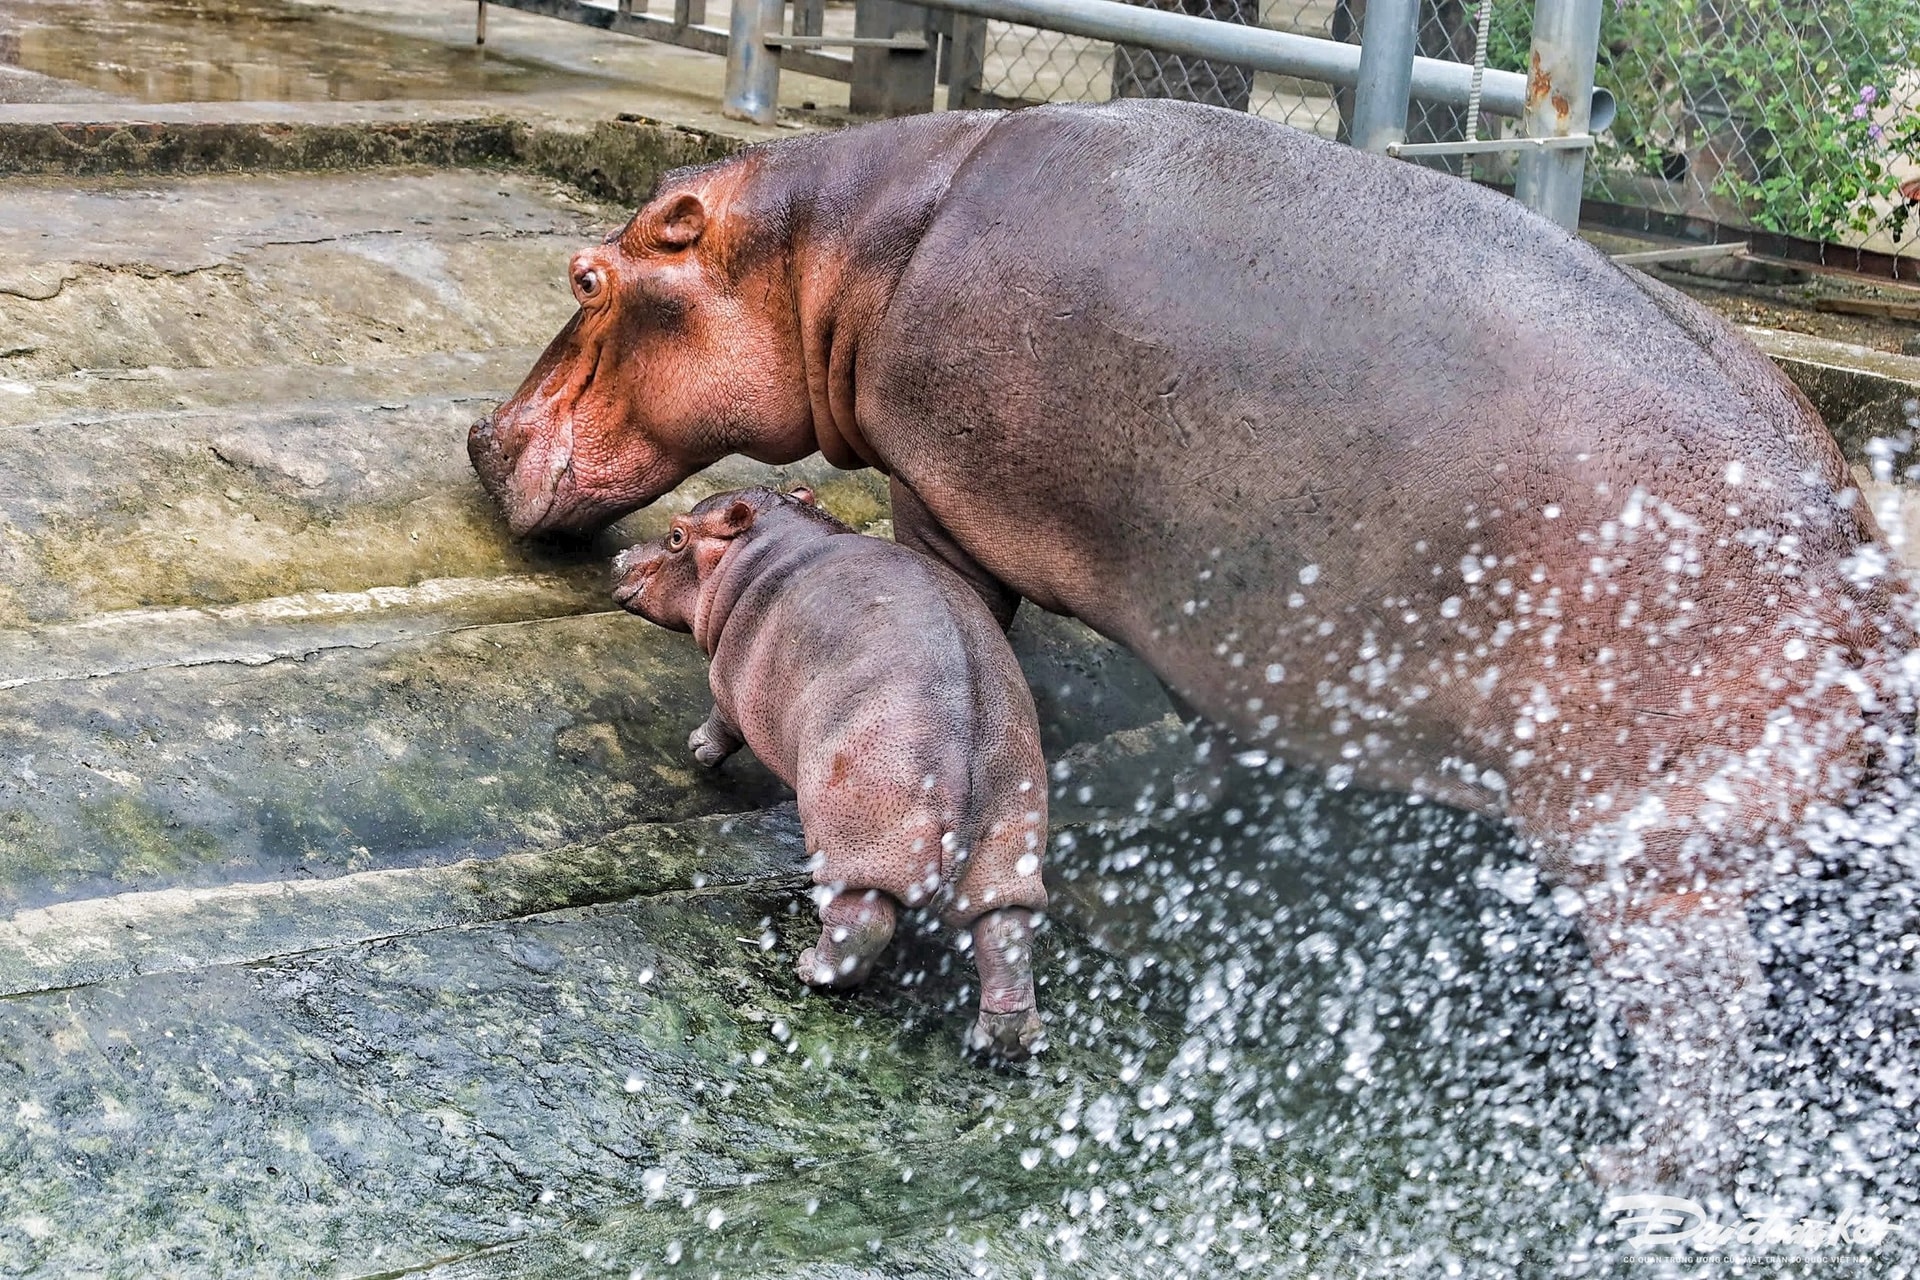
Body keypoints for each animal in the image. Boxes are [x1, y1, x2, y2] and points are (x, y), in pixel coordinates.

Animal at [610, 485, 1052, 1059]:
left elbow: (721, 721)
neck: (765, 543)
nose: (618, 557)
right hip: (1008, 849)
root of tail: (965, 779)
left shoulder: (728, 681)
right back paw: (1002, 1041)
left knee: (861, 924)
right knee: (1006, 939)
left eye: (677, 535)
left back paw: (810, 970)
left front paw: (697, 749)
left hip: (855, 844)